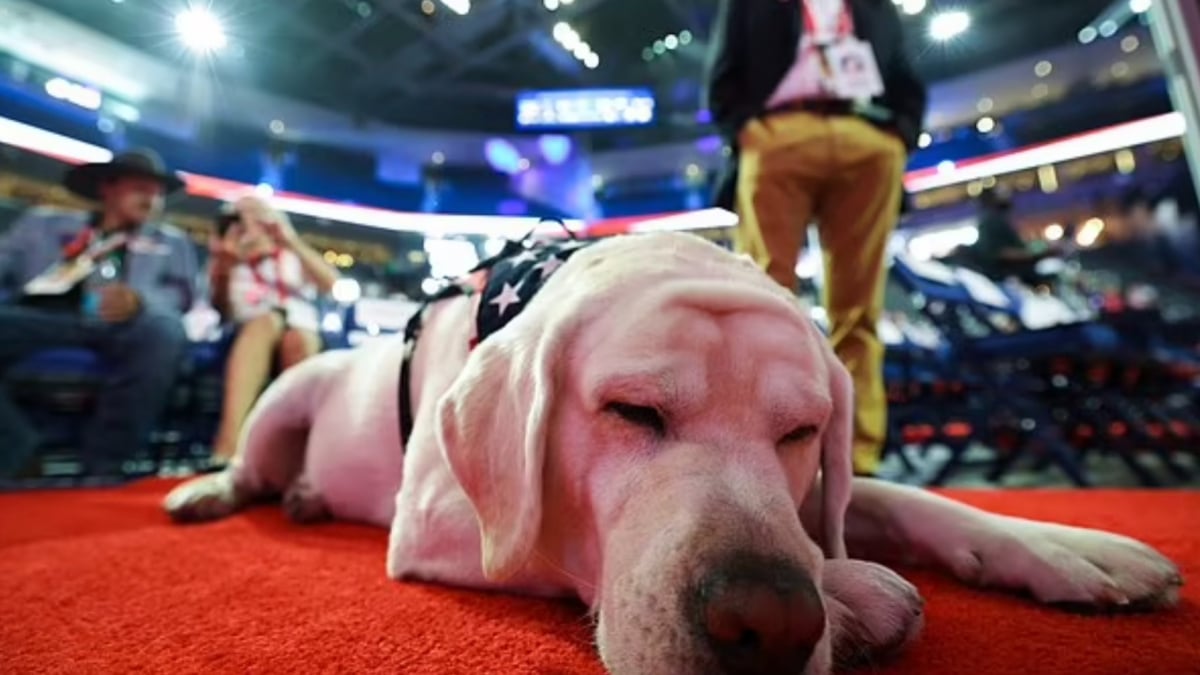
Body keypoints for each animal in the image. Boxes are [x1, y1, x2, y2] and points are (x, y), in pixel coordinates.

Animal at [166, 233, 1180, 672]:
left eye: (801, 431)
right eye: (632, 411)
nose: (771, 623)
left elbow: (899, 500)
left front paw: (1067, 547)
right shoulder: (439, 522)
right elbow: (553, 538)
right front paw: (855, 592)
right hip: (286, 391)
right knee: (250, 460)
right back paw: (210, 492)